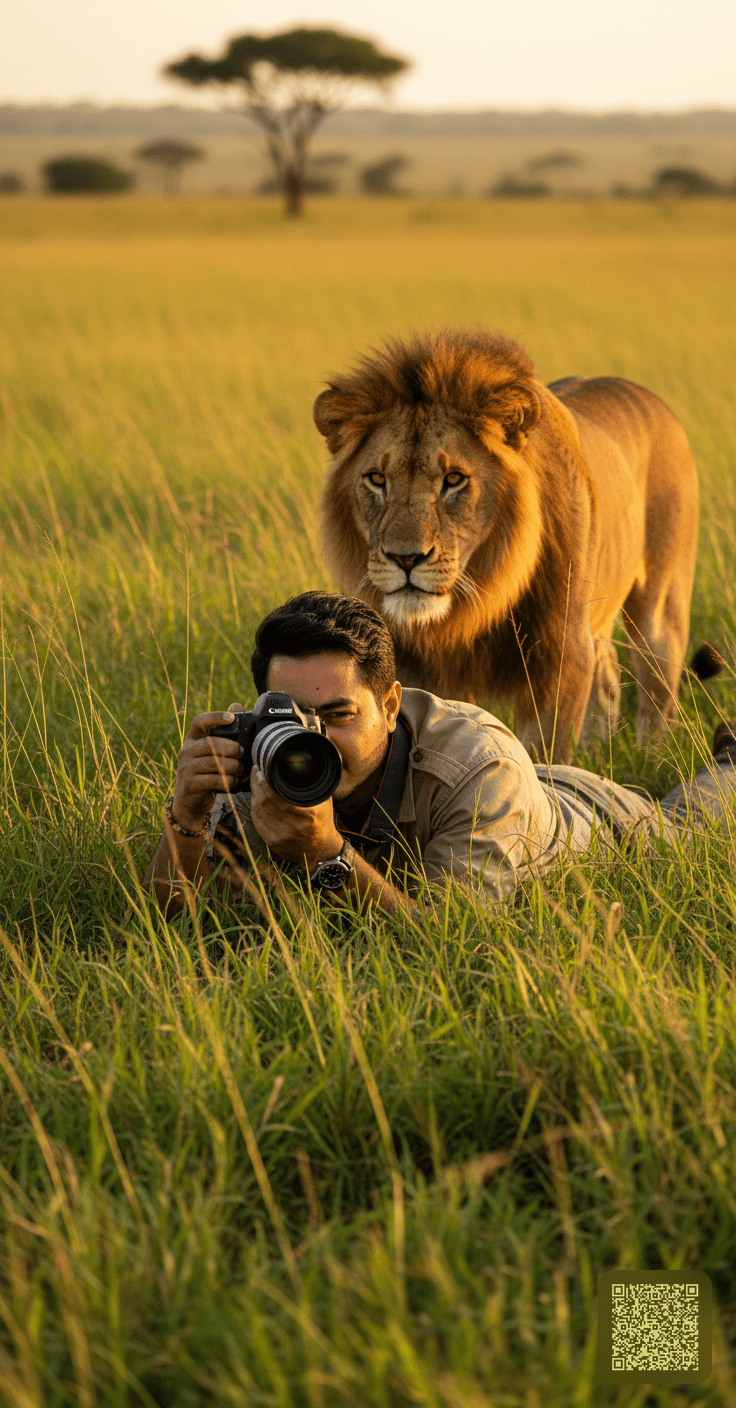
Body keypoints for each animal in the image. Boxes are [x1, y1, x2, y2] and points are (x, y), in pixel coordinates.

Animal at [314, 330, 700, 763]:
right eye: (377, 479)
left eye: (454, 479)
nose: (406, 558)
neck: (475, 604)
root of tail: (654, 401)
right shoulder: (416, 665)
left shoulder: (560, 657)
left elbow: (543, 757)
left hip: (661, 610)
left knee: (658, 688)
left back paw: (656, 756)